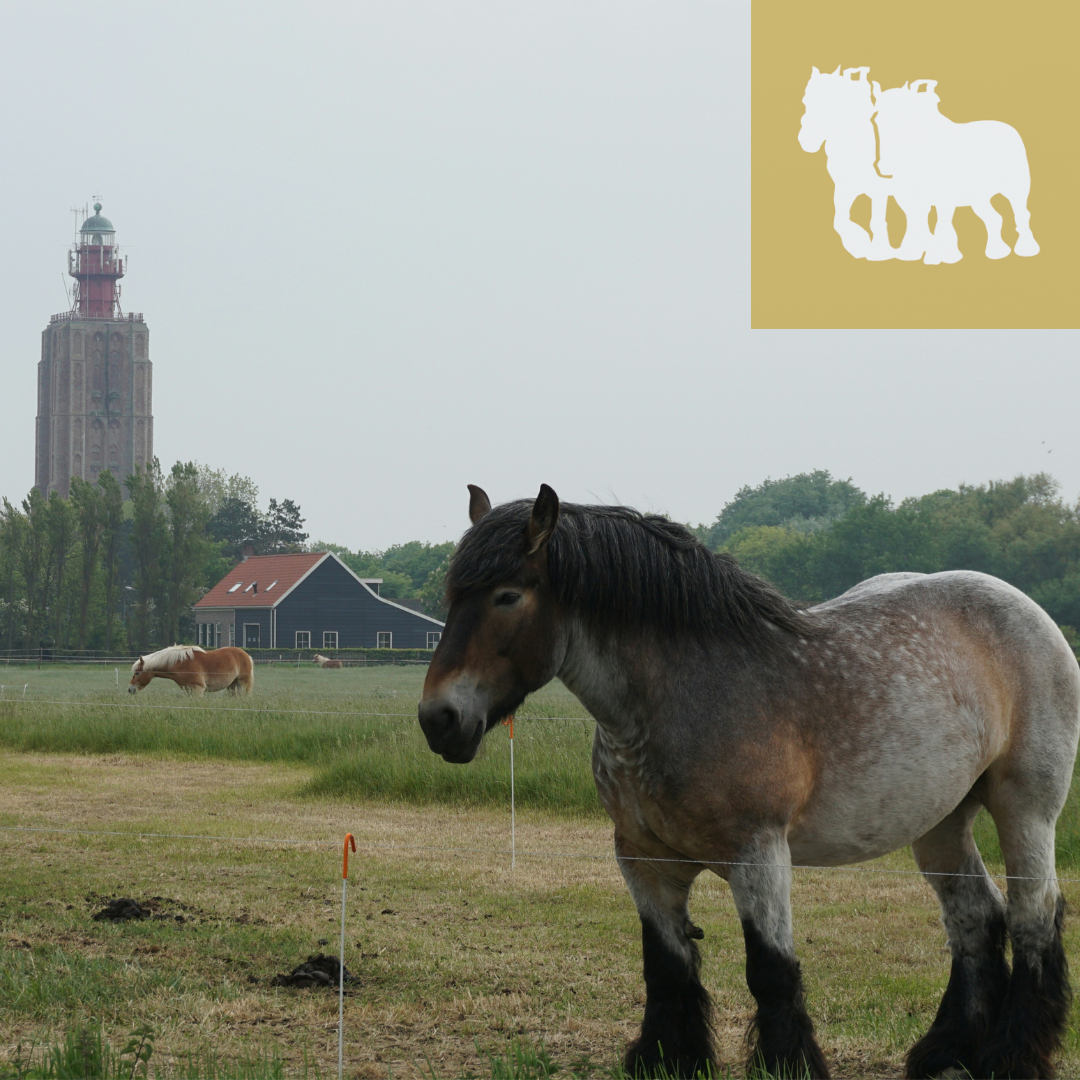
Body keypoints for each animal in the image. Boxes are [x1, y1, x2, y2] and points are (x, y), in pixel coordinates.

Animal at [418, 484, 1078, 1079]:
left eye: (507, 595)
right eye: (453, 596)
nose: (438, 720)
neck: (679, 696)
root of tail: (1029, 611)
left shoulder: (757, 852)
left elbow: (770, 969)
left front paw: (787, 1064)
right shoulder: (642, 858)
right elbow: (667, 967)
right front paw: (667, 1060)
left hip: (1026, 808)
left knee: (1033, 915)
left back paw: (1011, 1057)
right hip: (940, 820)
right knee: (975, 920)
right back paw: (946, 1054)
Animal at [872, 79, 1039, 264]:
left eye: (906, 120)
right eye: (877, 119)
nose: (884, 167)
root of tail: (1008, 128)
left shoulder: (944, 198)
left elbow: (939, 226)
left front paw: (941, 256)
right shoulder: (914, 199)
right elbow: (918, 223)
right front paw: (913, 253)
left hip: (1016, 190)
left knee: (1021, 213)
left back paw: (1027, 248)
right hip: (978, 197)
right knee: (994, 218)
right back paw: (997, 251)